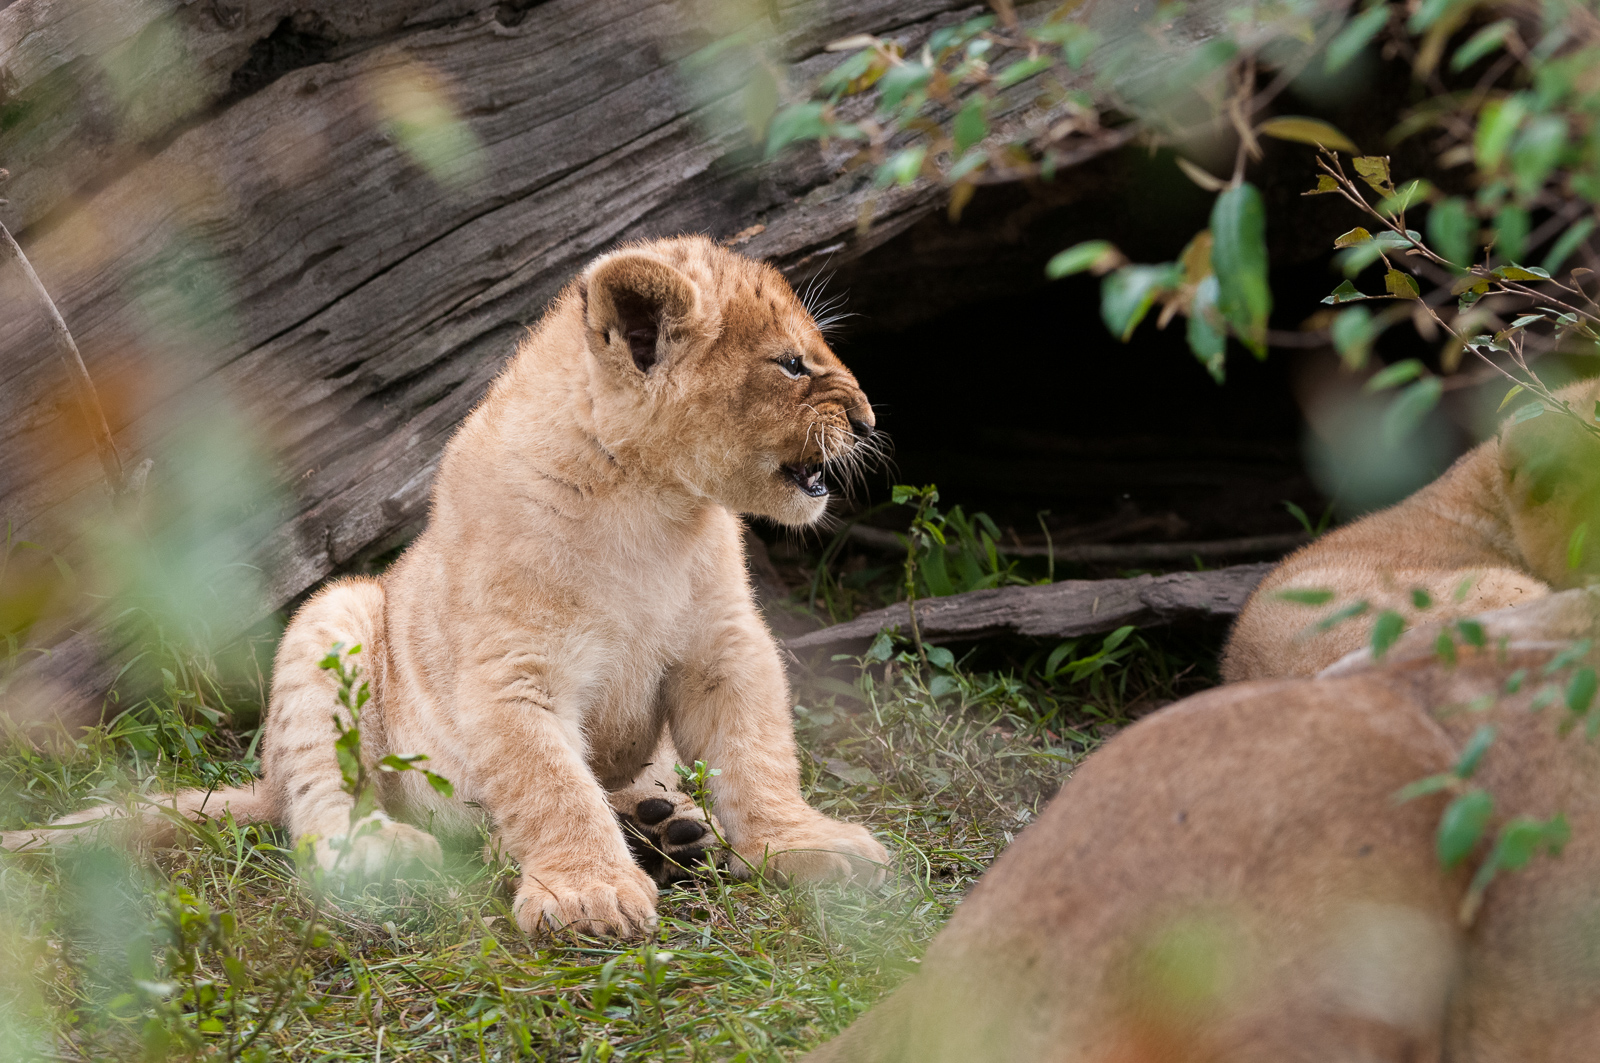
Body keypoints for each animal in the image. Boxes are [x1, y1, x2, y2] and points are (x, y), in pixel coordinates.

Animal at [4, 236, 889, 938]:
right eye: (791, 363)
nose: (870, 420)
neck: (649, 503)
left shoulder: (724, 648)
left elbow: (757, 756)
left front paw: (802, 842)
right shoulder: (510, 673)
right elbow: (551, 785)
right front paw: (589, 893)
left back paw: (670, 825)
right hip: (337, 618)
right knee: (317, 816)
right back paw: (390, 853)